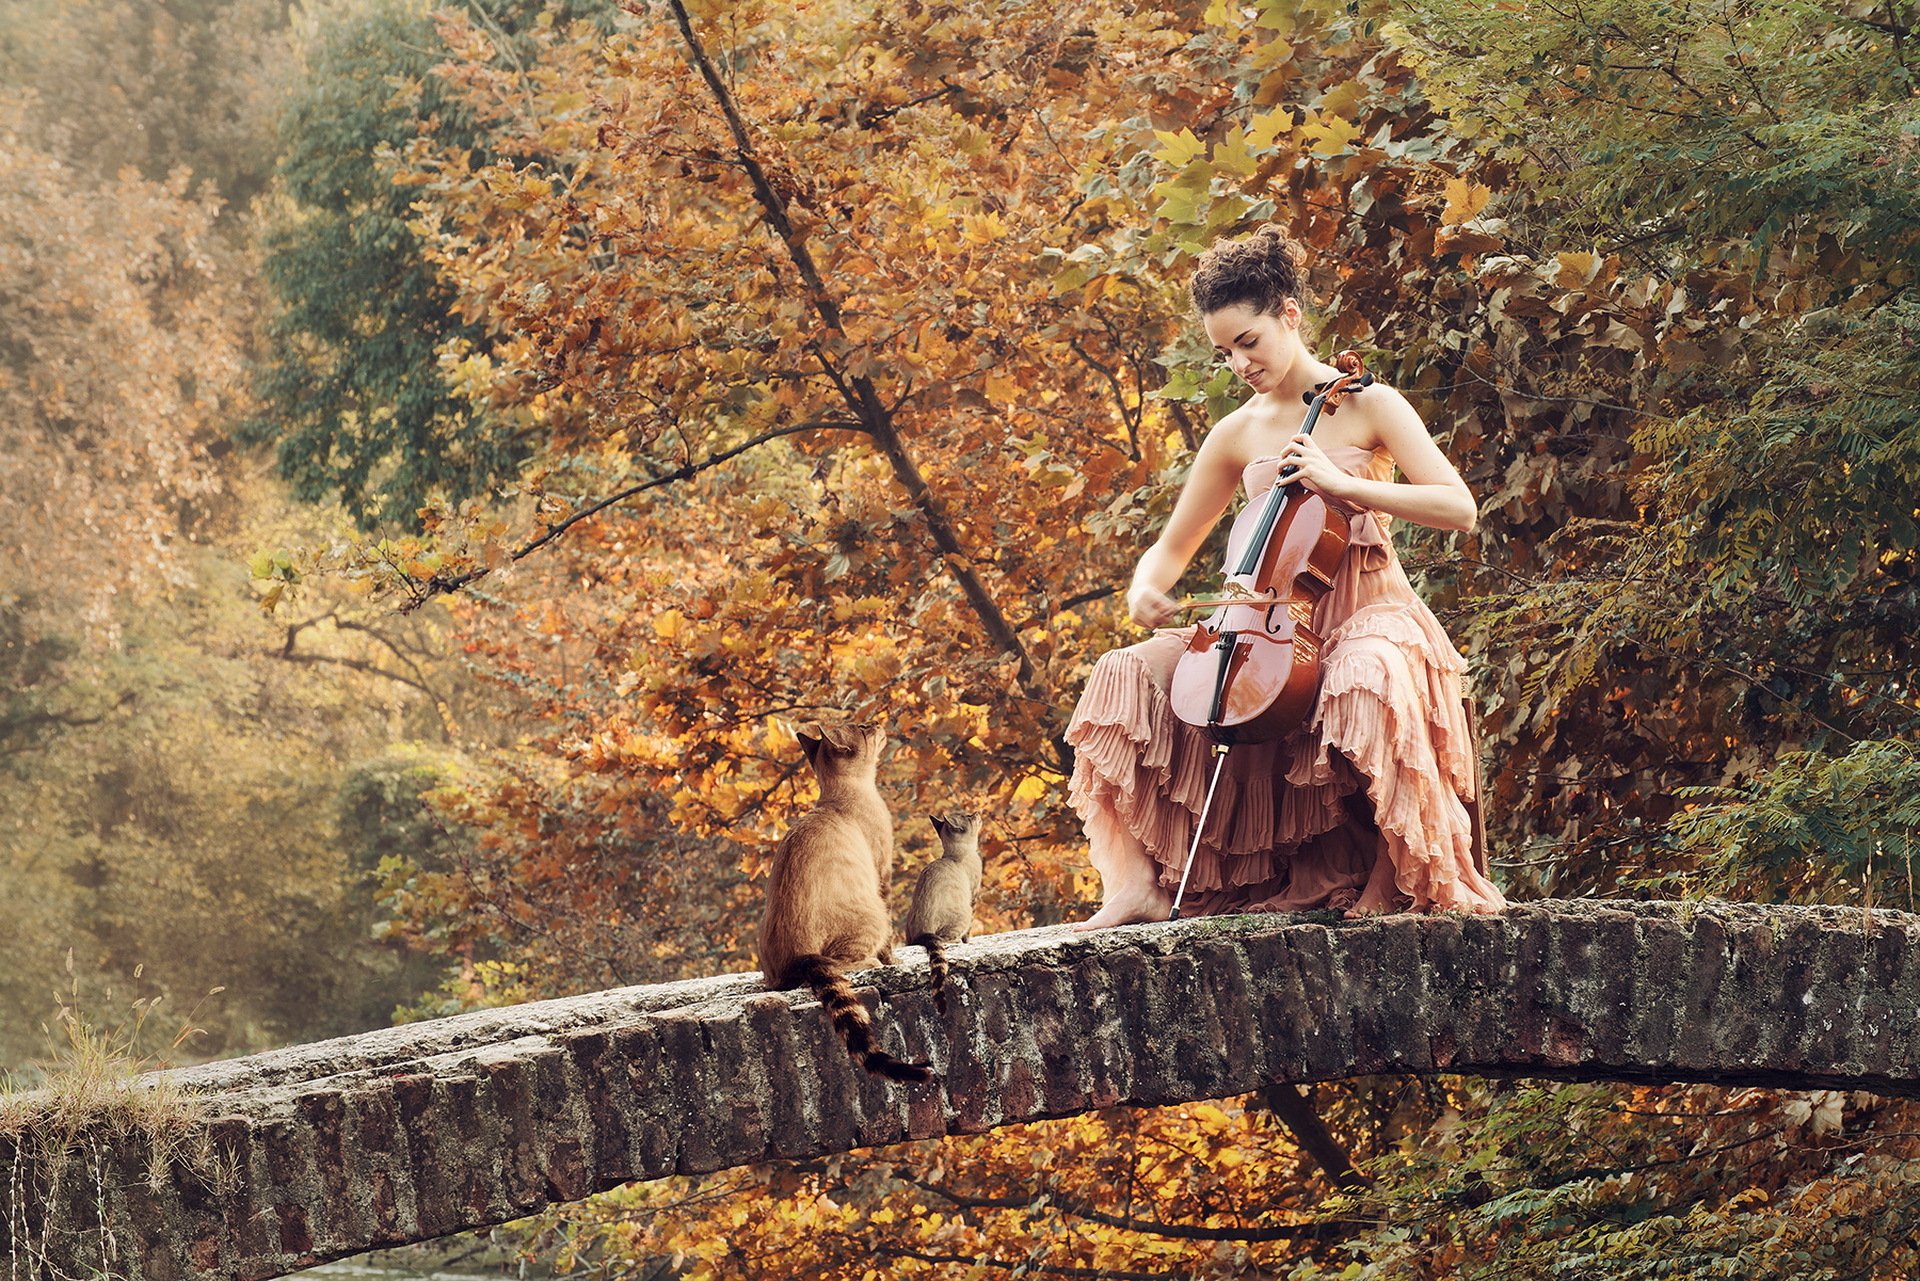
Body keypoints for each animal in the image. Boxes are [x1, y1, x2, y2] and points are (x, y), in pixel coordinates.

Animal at [752, 722, 933, 1083]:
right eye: (863, 728)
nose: (876, 722)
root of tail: (800, 957)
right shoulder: (883, 873)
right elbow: (891, 941)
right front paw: (895, 961)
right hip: (869, 914)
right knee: (843, 962)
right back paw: (871, 962)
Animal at [902, 810, 983, 1014]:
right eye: (969, 816)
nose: (977, 812)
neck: (953, 855)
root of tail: (922, 934)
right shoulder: (974, 896)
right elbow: (969, 932)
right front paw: (968, 942)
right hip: (964, 912)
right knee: (947, 938)